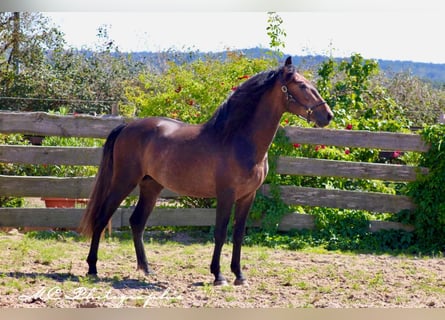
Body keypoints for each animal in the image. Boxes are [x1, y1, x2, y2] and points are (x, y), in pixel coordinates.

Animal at [80, 57, 332, 284]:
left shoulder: (247, 196)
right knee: (102, 218)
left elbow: (238, 235)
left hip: (151, 185)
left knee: (137, 222)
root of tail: (126, 126)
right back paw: (92, 268)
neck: (238, 139)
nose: (327, 115)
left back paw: (146, 269)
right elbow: (220, 233)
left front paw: (239, 275)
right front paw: (218, 275)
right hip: (124, 181)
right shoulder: (226, 195)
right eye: (301, 85)